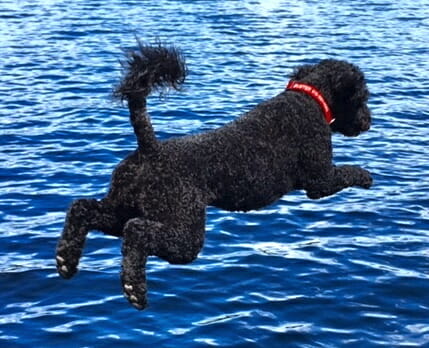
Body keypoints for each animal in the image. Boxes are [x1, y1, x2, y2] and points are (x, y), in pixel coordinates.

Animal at [56, 41, 372, 310]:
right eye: (362, 97)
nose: (369, 122)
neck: (309, 98)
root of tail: (150, 149)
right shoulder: (320, 180)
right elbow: (347, 172)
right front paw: (366, 175)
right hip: (183, 230)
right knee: (135, 231)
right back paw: (134, 289)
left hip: (122, 207)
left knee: (83, 208)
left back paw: (65, 260)